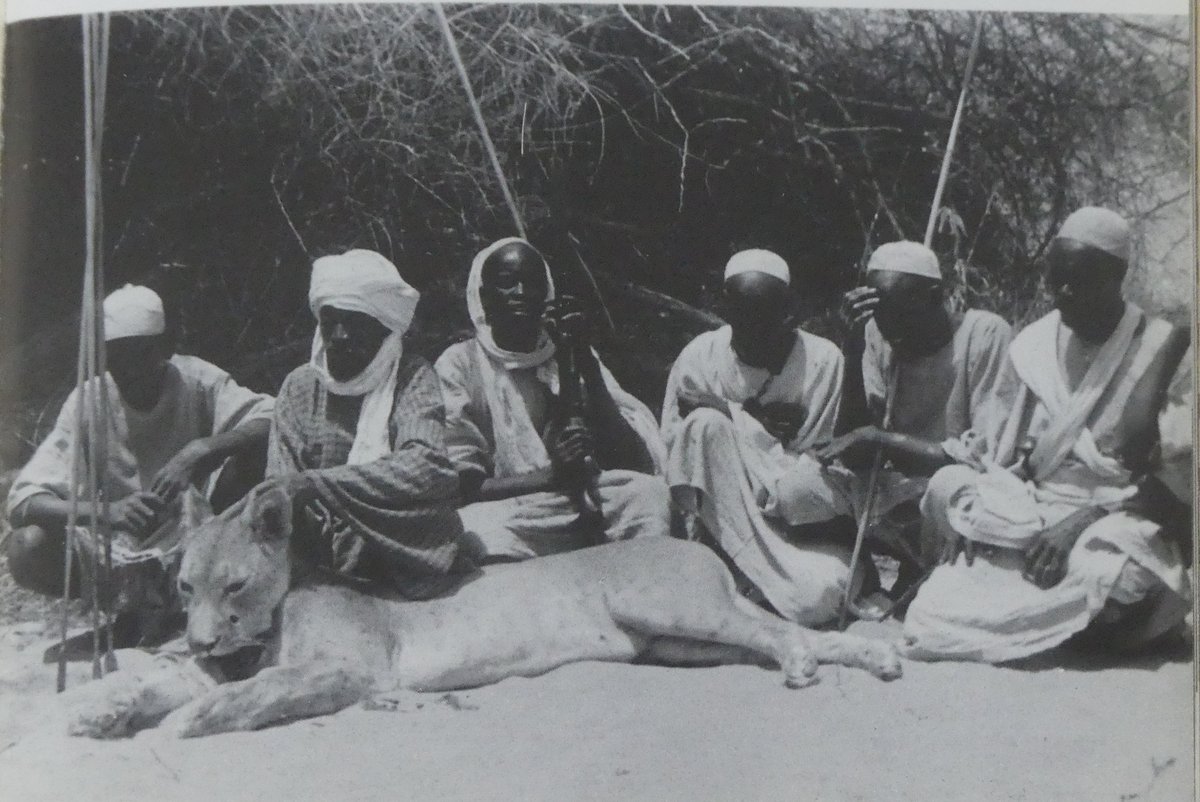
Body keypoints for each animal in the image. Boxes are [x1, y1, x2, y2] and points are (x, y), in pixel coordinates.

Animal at [60, 482, 897, 739]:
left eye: (233, 586)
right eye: (184, 587)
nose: (201, 638)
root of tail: (695, 548)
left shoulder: (355, 669)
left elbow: (263, 691)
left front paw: (192, 719)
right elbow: (161, 681)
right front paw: (101, 712)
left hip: (669, 605)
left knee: (780, 630)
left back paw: (809, 665)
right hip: (673, 641)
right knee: (784, 634)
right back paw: (876, 658)